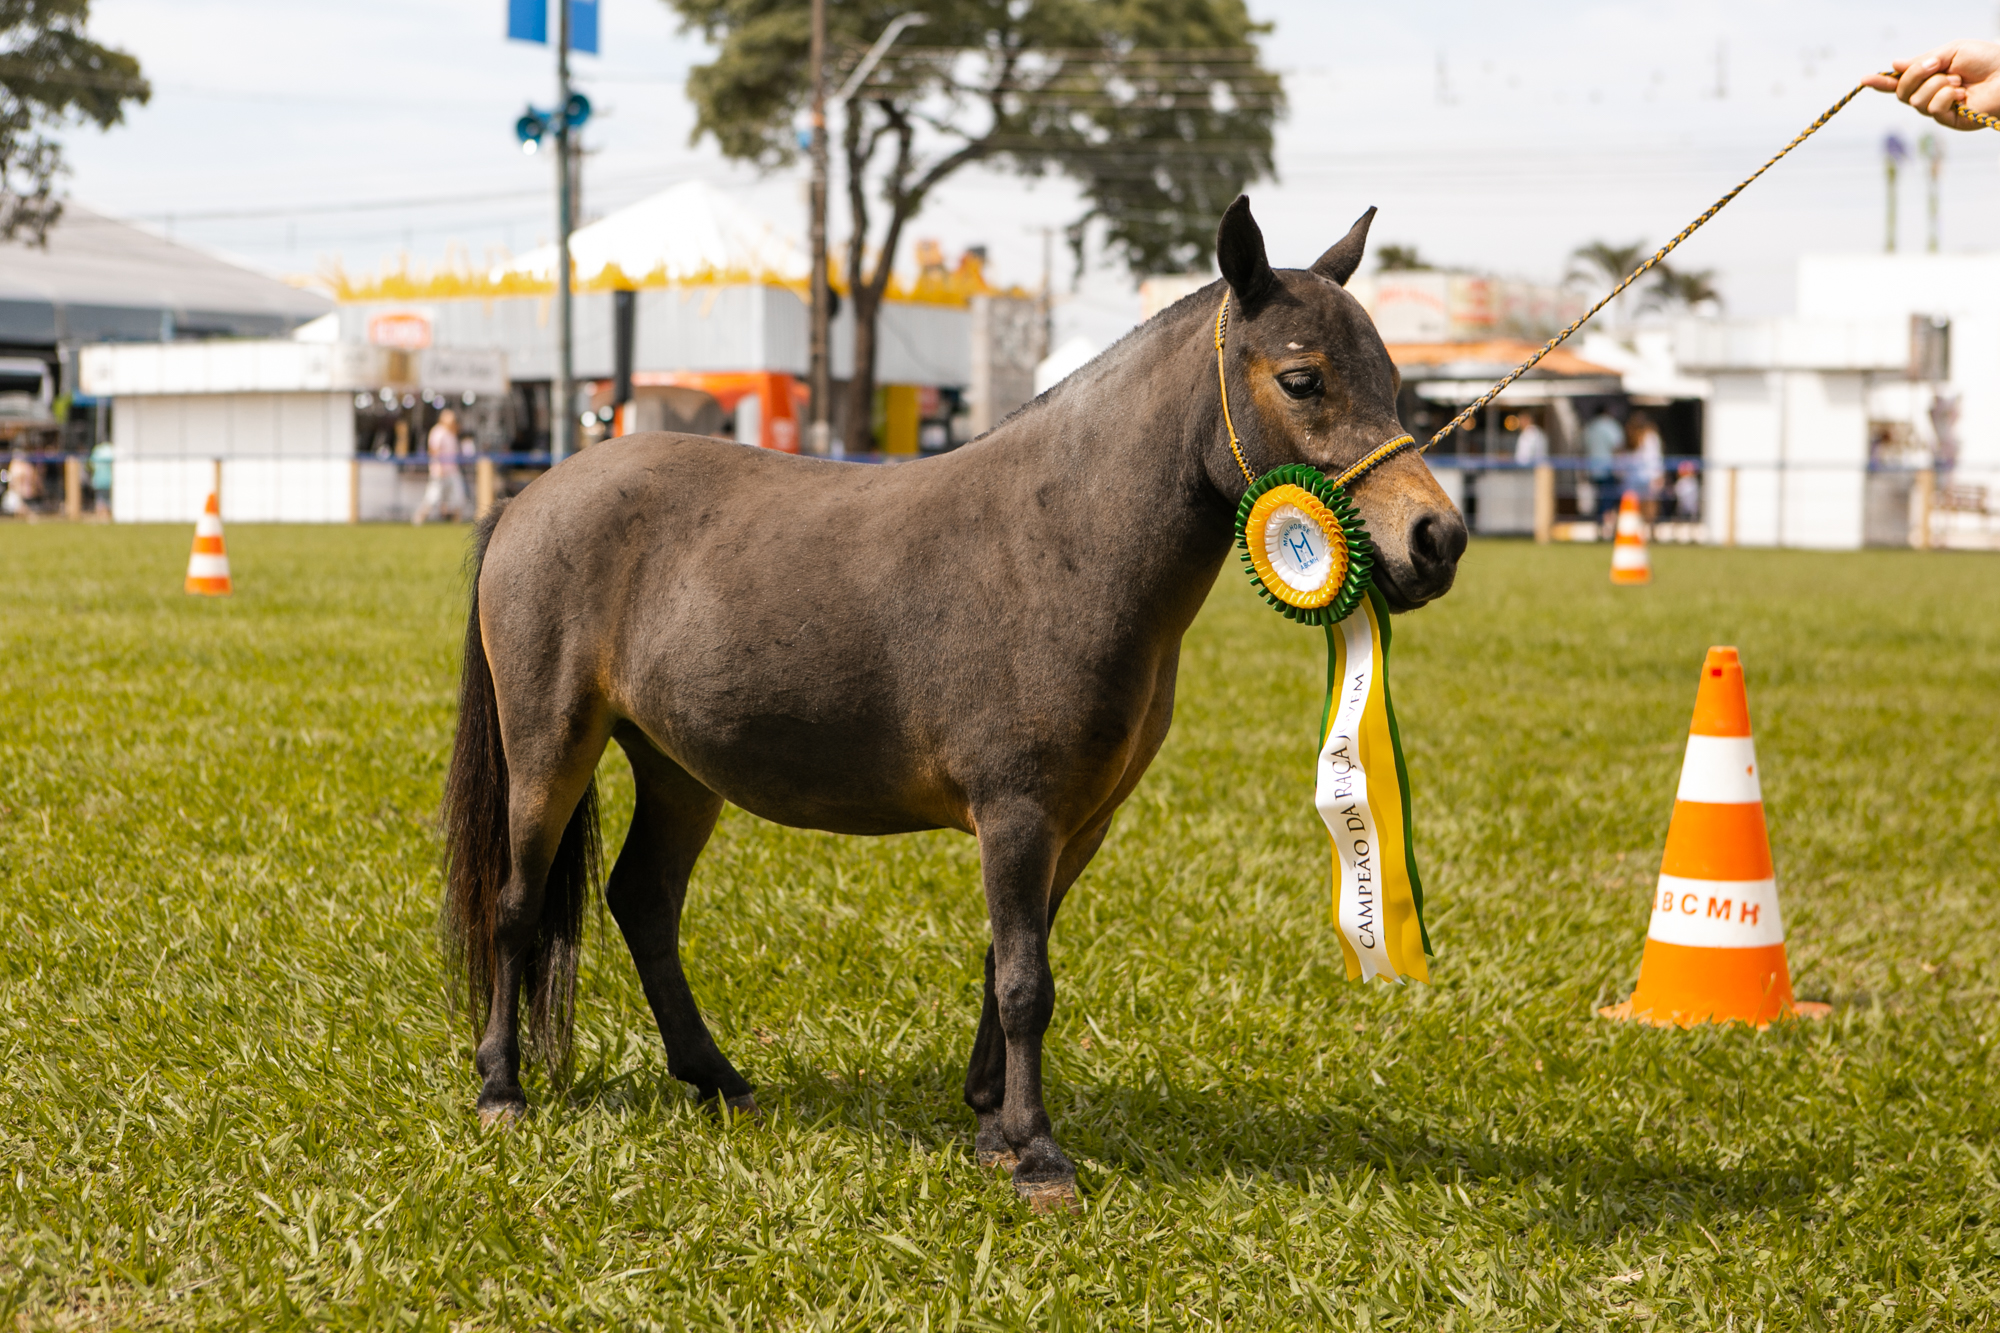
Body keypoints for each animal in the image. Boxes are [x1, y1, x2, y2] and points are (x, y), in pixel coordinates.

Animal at [442, 195, 1472, 1200]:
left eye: (1393, 378)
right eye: (1303, 381)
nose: (1437, 539)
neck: (1060, 539)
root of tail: (531, 497)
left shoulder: (1076, 821)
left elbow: (1008, 961)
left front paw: (991, 1122)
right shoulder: (1017, 811)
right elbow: (1025, 981)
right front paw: (1038, 1154)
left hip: (678, 768)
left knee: (644, 902)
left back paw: (718, 1078)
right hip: (549, 745)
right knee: (518, 902)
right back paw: (502, 1087)